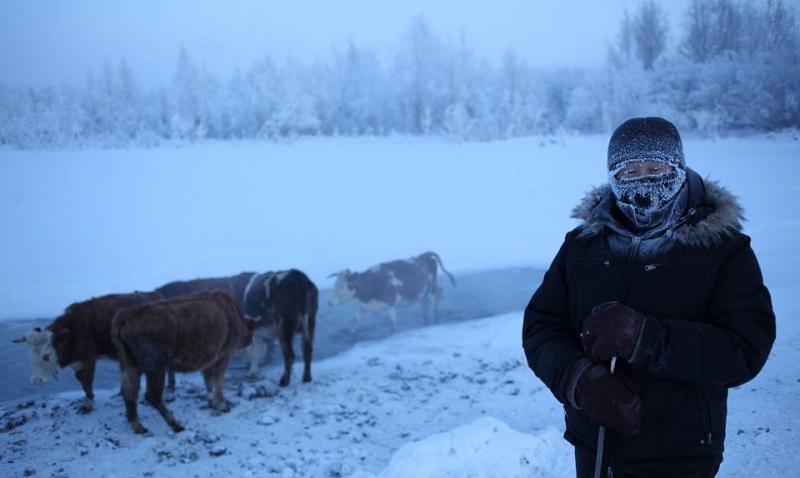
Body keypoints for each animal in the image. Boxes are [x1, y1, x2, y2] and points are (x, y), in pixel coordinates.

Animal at [12, 290, 163, 412]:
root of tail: (155, 294)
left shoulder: (89, 358)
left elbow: (87, 380)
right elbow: (81, 381)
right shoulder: (77, 362)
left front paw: (88, 403)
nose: (36, 380)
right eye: (30, 356)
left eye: (46, 356)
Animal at [111, 288, 255, 434]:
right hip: (156, 368)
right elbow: (218, 383)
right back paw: (176, 425)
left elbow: (208, 381)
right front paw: (222, 405)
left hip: (130, 366)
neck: (232, 312)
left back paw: (138, 426)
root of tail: (126, 314)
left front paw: (210, 401)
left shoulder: (209, 362)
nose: (249, 340)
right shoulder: (223, 357)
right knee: (152, 396)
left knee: (129, 391)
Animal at [328, 250, 456, 332]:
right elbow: (355, 321)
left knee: (438, 292)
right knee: (426, 301)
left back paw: (436, 312)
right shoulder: (365, 306)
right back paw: (426, 318)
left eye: (342, 286)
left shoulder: (391, 304)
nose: (330, 303)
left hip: (431, 285)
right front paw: (351, 333)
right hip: (422, 292)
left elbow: (392, 324)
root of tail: (425, 255)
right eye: (335, 284)